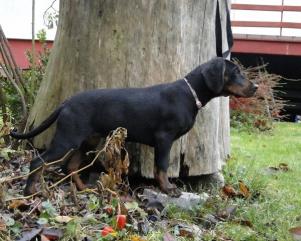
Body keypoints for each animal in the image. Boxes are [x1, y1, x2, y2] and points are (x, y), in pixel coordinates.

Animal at [10, 58, 256, 196]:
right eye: (235, 72)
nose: (255, 87)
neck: (190, 94)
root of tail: (66, 103)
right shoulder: (164, 139)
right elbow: (161, 167)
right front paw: (168, 189)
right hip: (67, 138)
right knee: (38, 162)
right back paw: (30, 191)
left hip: (87, 140)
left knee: (70, 166)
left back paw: (82, 189)